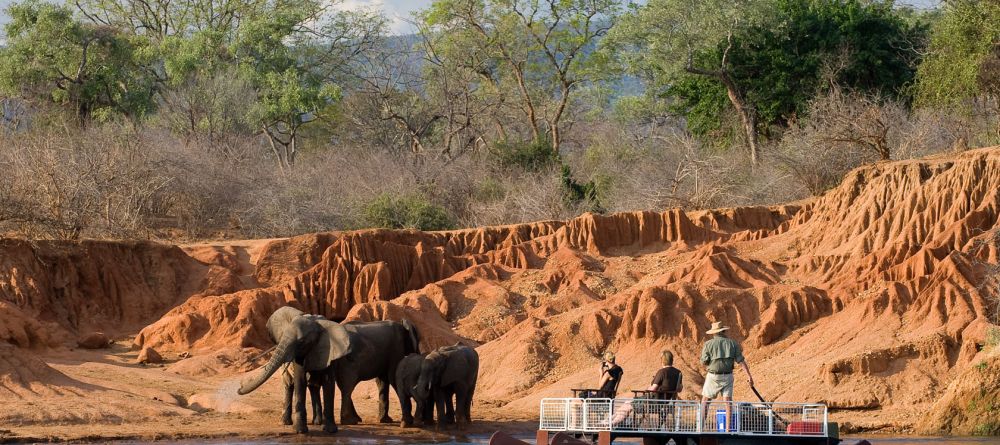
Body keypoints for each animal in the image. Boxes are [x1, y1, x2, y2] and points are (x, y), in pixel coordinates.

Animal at [238, 304, 352, 432]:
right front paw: (300, 431)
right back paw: (286, 422)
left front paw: (330, 431)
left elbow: (328, 382)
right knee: (289, 385)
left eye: (301, 341)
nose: (239, 387)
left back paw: (316, 422)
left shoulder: (330, 350)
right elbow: (300, 379)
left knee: (313, 386)